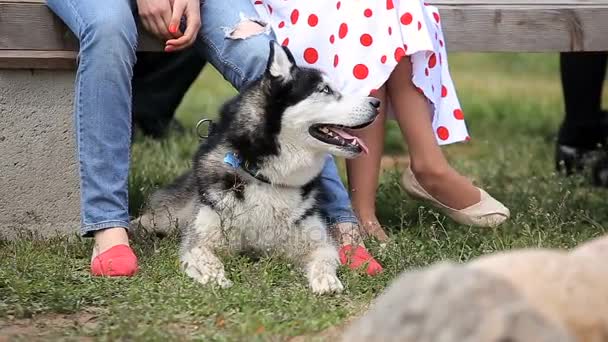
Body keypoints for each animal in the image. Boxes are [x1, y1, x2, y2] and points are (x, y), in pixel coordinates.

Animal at [135, 42, 378, 294]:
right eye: (325, 90)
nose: (376, 103)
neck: (269, 179)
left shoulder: (319, 241)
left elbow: (324, 259)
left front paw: (327, 280)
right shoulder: (200, 239)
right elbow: (204, 256)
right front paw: (215, 278)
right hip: (173, 216)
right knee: (147, 219)